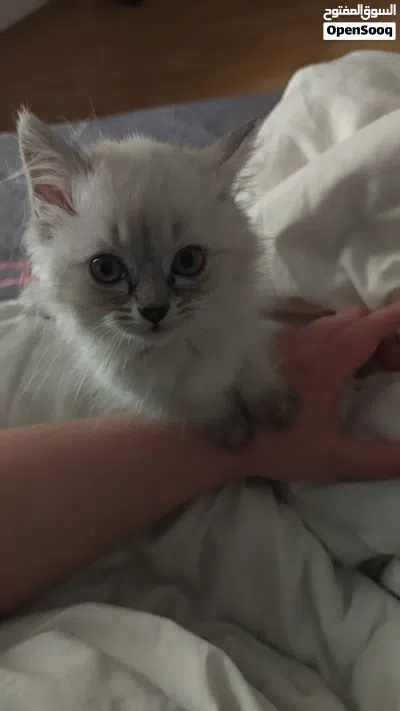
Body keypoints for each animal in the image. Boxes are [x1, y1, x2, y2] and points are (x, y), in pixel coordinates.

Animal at [17, 109, 293, 449]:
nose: (154, 312)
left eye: (189, 262)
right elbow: (202, 408)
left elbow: (252, 368)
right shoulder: (146, 395)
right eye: (106, 269)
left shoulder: (244, 327)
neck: (179, 349)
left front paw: (276, 409)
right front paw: (235, 434)